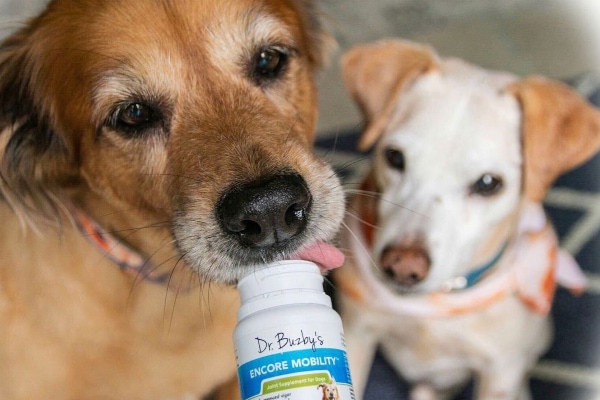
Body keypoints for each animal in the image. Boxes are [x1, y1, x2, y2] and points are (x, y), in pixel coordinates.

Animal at [336, 38, 596, 400]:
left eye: (488, 184)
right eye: (394, 158)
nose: (402, 265)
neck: (436, 305)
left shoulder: (499, 374)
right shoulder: (356, 334)